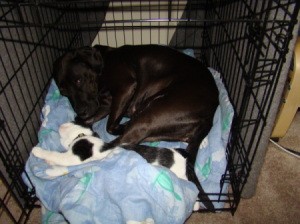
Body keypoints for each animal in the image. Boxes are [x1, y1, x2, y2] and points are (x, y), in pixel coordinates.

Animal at [31, 122, 214, 212]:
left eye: (72, 122)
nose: (61, 125)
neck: (83, 137)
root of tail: (183, 154)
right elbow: (59, 163)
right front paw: (51, 167)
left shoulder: (77, 154)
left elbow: (57, 156)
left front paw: (38, 151)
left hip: (181, 176)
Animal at [53, 44, 218, 212]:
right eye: (63, 91)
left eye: (78, 80)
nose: (80, 111)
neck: (104, 63)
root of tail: (210, 115)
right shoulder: (104, 105)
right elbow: (91, 121)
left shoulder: (124, 88)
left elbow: (109, 126)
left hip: (150, 114)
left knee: (116, 142)